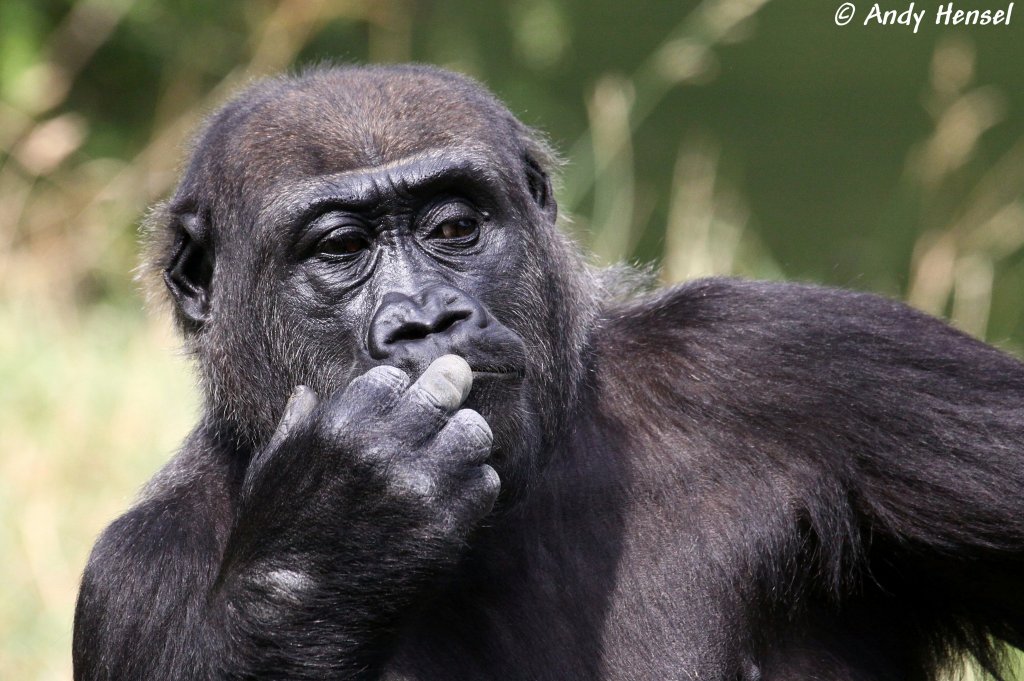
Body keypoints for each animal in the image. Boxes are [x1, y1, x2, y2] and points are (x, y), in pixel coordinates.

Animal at [72, 65, 1024, 679]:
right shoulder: (133, 578)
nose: (429, 319)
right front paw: (334, 532)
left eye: (453, 227)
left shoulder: (812, 363)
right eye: (340, 248)